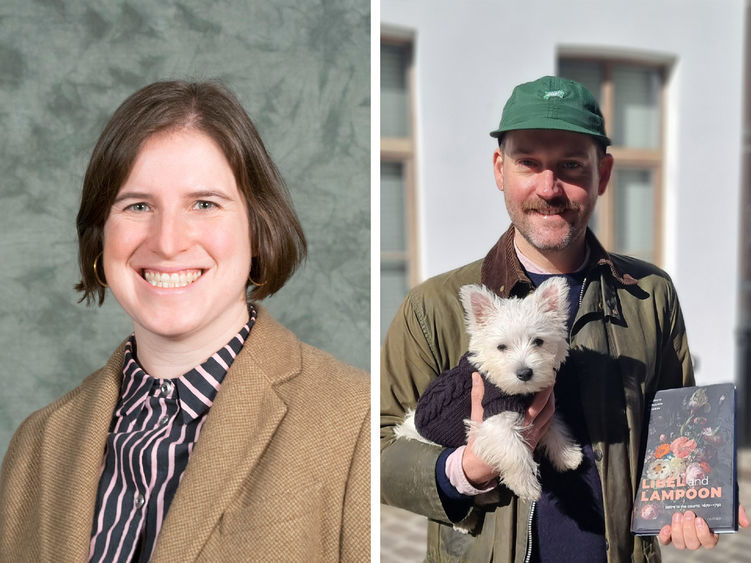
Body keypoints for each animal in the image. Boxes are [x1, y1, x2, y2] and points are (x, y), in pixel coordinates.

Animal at [396, 278, 584, 502]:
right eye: (501, 347)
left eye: (538, 341)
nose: (524, 373)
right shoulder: (494, 419)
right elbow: (514, 451)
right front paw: (526, 486)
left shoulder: (540, 407)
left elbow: (555, 425)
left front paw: (568, 455)